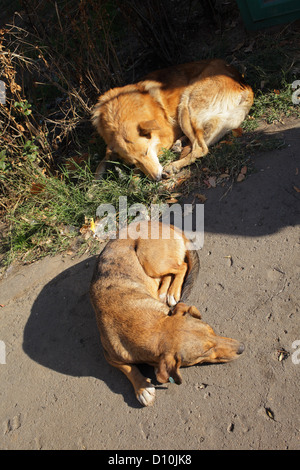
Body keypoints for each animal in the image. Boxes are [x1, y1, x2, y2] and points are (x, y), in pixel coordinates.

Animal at [89, 222, 244, 406]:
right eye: (205, 352)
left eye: (212, 331)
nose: (242, 348)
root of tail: (160, 223)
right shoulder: (110, 356)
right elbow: (128, 368)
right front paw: (142, 388)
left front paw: (142, 387)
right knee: (172, 273)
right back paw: (164, 292)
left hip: (151, 261)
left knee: (181, 267)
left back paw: (171, 292)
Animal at [91, 59, 253, 181]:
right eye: (133, 162)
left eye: (146, 152)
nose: (156, 179)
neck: (117, 116)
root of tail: (244, 84)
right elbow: (101, 163)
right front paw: (92, 188)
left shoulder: (165, 138)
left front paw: (133, 181)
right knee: (199, 140)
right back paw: (179, 145)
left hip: (186, 103)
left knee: (200, 147)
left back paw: (173, 165)